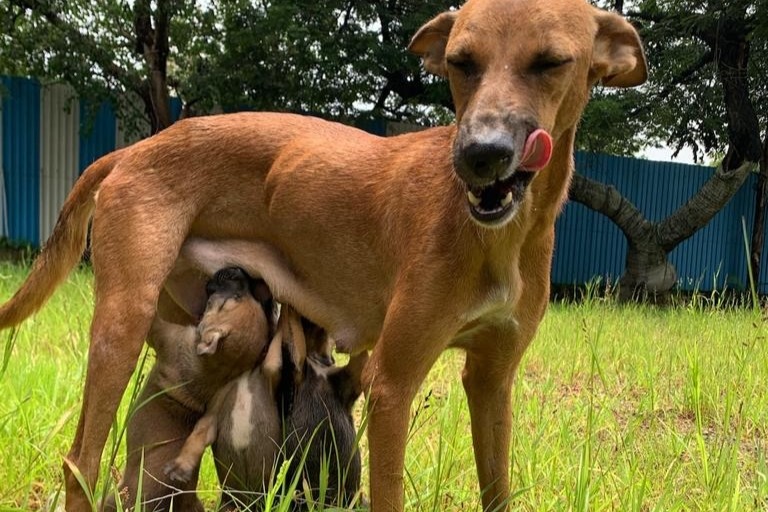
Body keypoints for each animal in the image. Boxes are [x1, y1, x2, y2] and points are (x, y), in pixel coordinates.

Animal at [103, 267, 275, 511]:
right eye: (241, 295)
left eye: (233, 299)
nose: (236, 270)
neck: (219, 367)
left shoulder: (165, 335)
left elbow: (154, 319)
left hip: (116, 497)